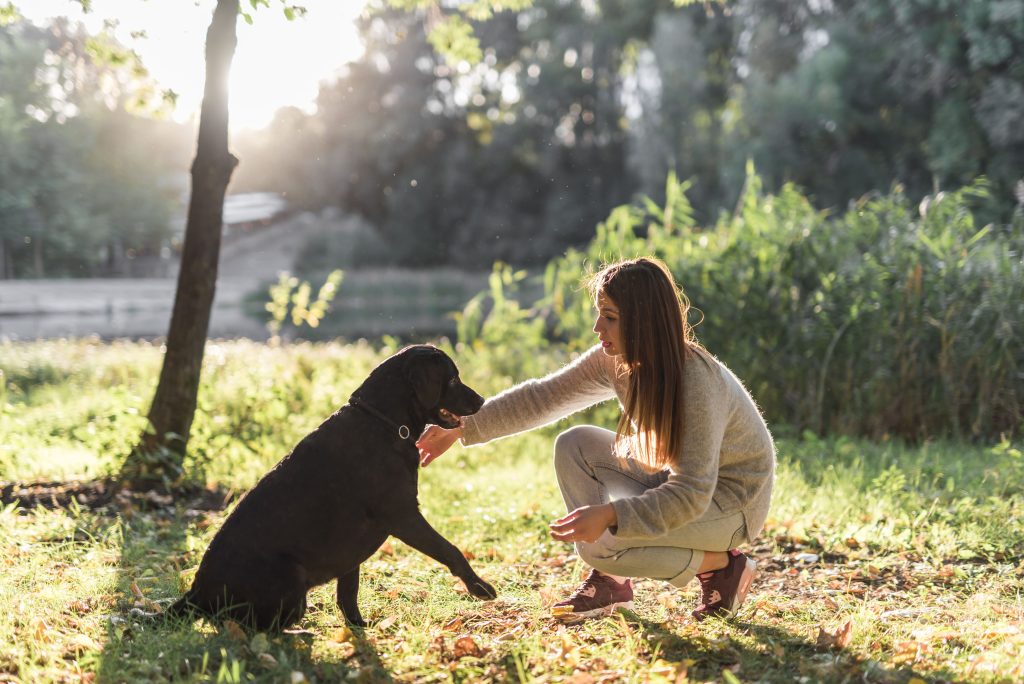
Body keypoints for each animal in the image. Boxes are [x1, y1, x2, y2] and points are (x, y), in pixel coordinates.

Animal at [168, 348, 495, 630]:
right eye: (452, 379)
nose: (481, 399)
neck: (385, 423)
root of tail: (196, 592)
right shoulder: (403, 516)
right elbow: (451, 550)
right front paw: (479, 586)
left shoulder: (352, 546)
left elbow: (348, 592)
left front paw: (359, 628)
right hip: (291, 580)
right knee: (247, 626)